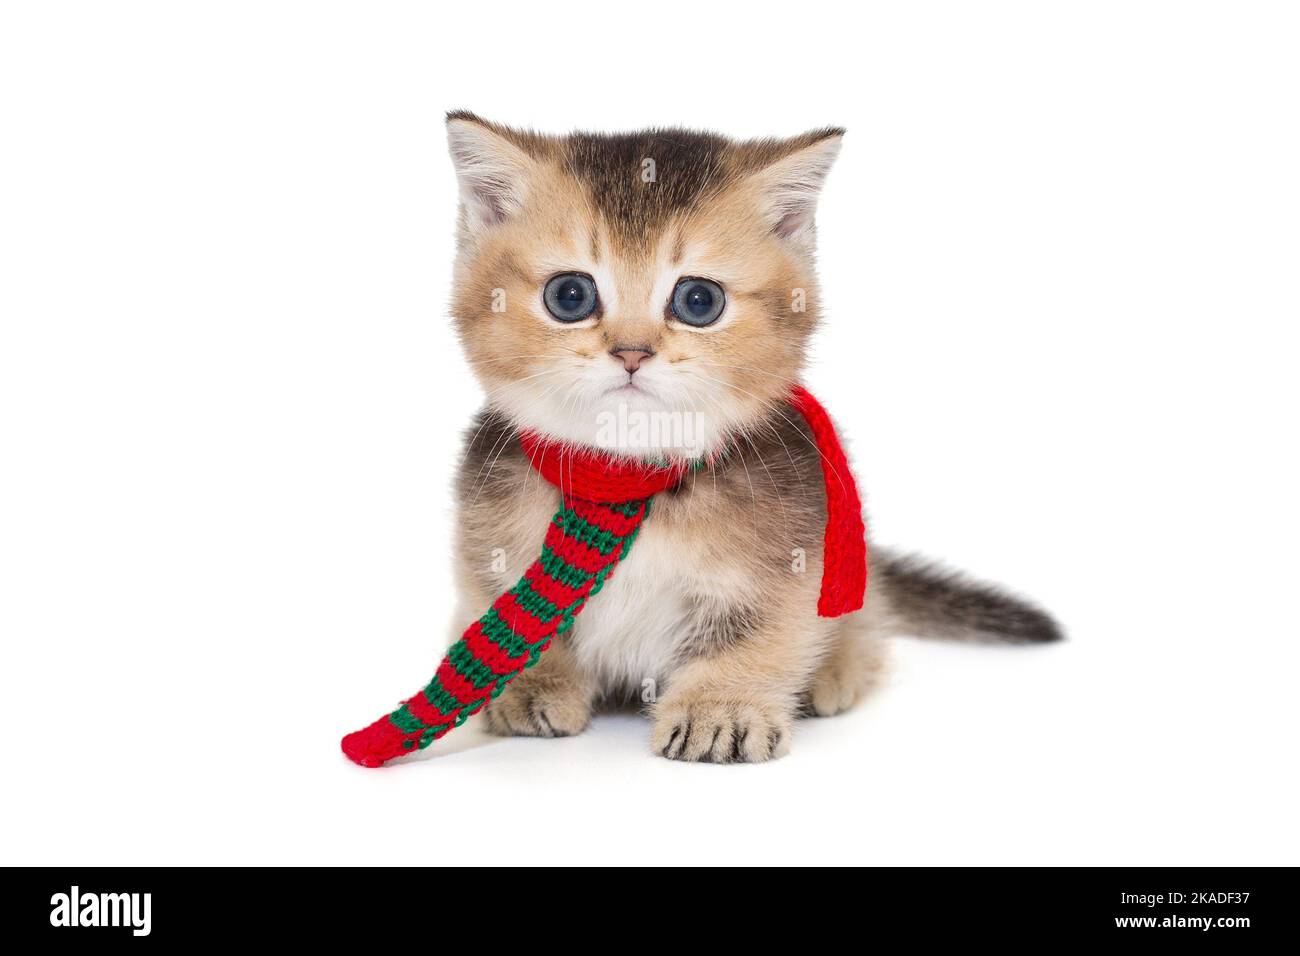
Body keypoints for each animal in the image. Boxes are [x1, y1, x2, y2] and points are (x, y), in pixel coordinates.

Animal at [441, 111, 1060, 764]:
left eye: (698, 300)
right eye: (569, 295)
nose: (632, 352)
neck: (632, 482)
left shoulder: (793, 562)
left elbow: (760, 637)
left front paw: (721, 709)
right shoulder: (486, 548)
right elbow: (501, 612)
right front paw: (530, 685)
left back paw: (835, 669)